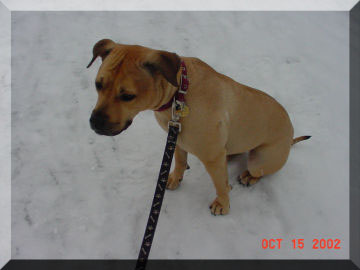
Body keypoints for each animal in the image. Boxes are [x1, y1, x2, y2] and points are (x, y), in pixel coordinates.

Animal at [86, 38, 310, 215]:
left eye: (127, 96)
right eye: (98, 84)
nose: (95, 122)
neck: (179, 94)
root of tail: (291, 137)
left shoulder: (211, 157)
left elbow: (221, 184)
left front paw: (223, 204)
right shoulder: (176, 137)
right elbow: (179, 160)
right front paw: (175, 177)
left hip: (261, 159)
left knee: (258, 171)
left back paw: (248, 176)